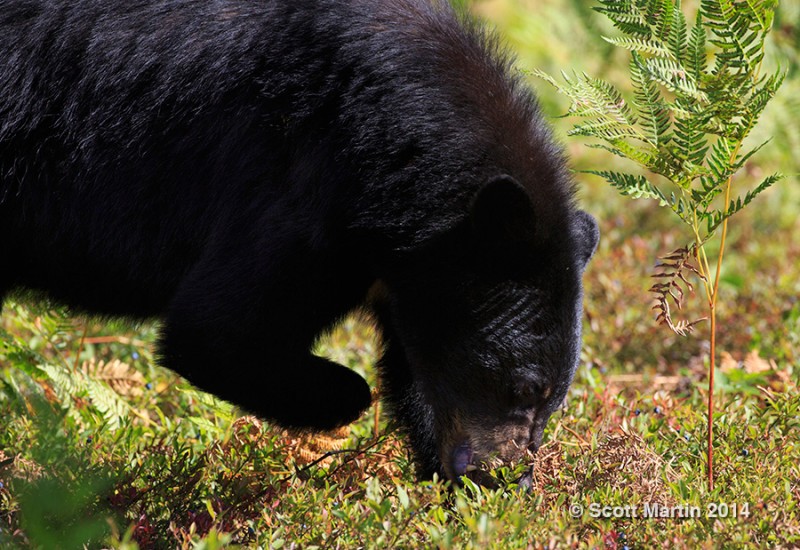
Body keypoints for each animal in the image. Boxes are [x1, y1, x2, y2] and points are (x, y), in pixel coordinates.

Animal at [0, 0, 596, 484]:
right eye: (523, 386)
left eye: (554, 399)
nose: (505, 479)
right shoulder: (300, 184)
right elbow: (217, 329)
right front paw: (339, 397)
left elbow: (418, 373)